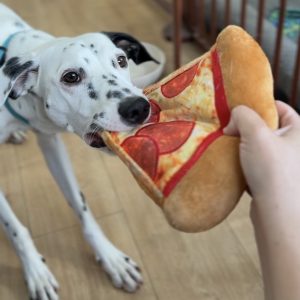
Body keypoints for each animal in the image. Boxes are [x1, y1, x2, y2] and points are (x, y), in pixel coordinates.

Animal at [0, 2, 155, 300]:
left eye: (121, 60)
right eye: (71, 77)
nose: (138, 108)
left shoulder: (50, 142)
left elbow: (81, 206)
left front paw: (111, 258)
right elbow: (16, 229)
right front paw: (36, 271)